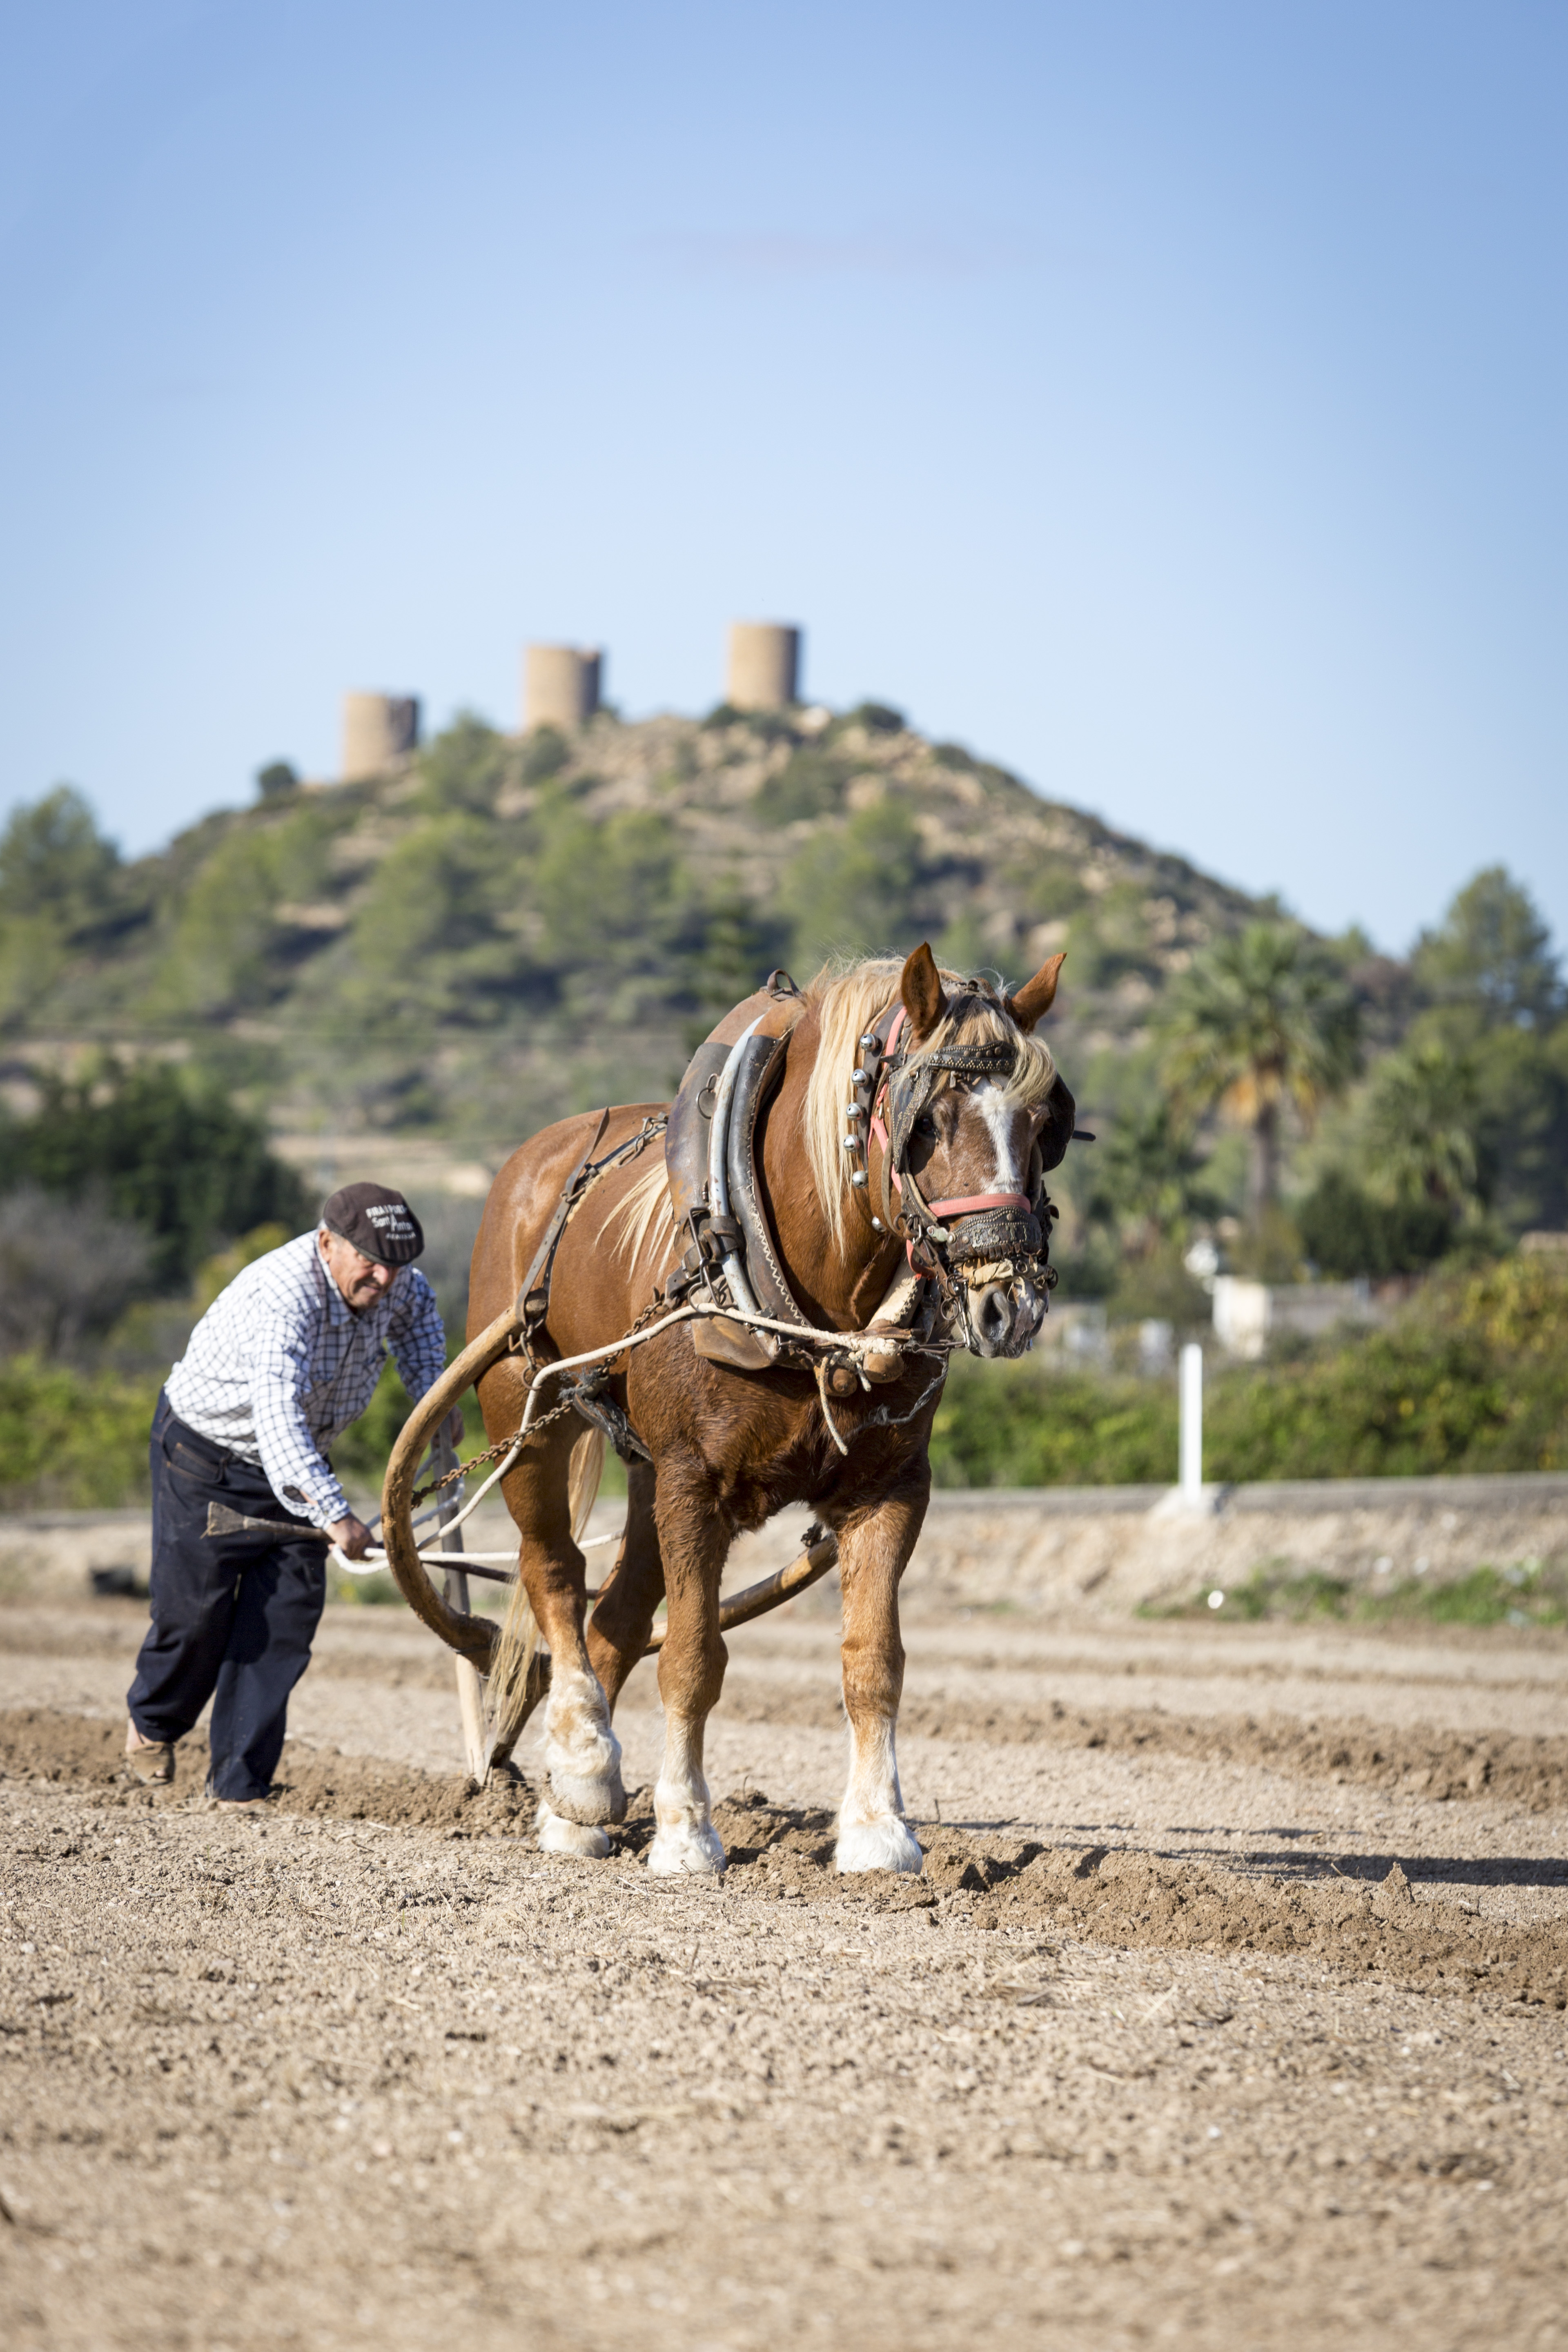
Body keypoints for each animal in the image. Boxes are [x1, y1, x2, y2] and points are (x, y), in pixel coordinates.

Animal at [385, 936, 1067, 1872]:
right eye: (928, 1121)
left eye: (1044, 1126)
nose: (1009, 1298)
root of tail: (538, 1159)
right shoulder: (694, 1481)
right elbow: (694, 1657)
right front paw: (685, 1829)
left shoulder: (889, 1489)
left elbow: (873, 1659)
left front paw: (878, 1830)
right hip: (528, 1414)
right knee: (556, 1575)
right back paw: (585, 1766)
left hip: (646, 1471)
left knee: (619, 1614)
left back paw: (573, 1809)